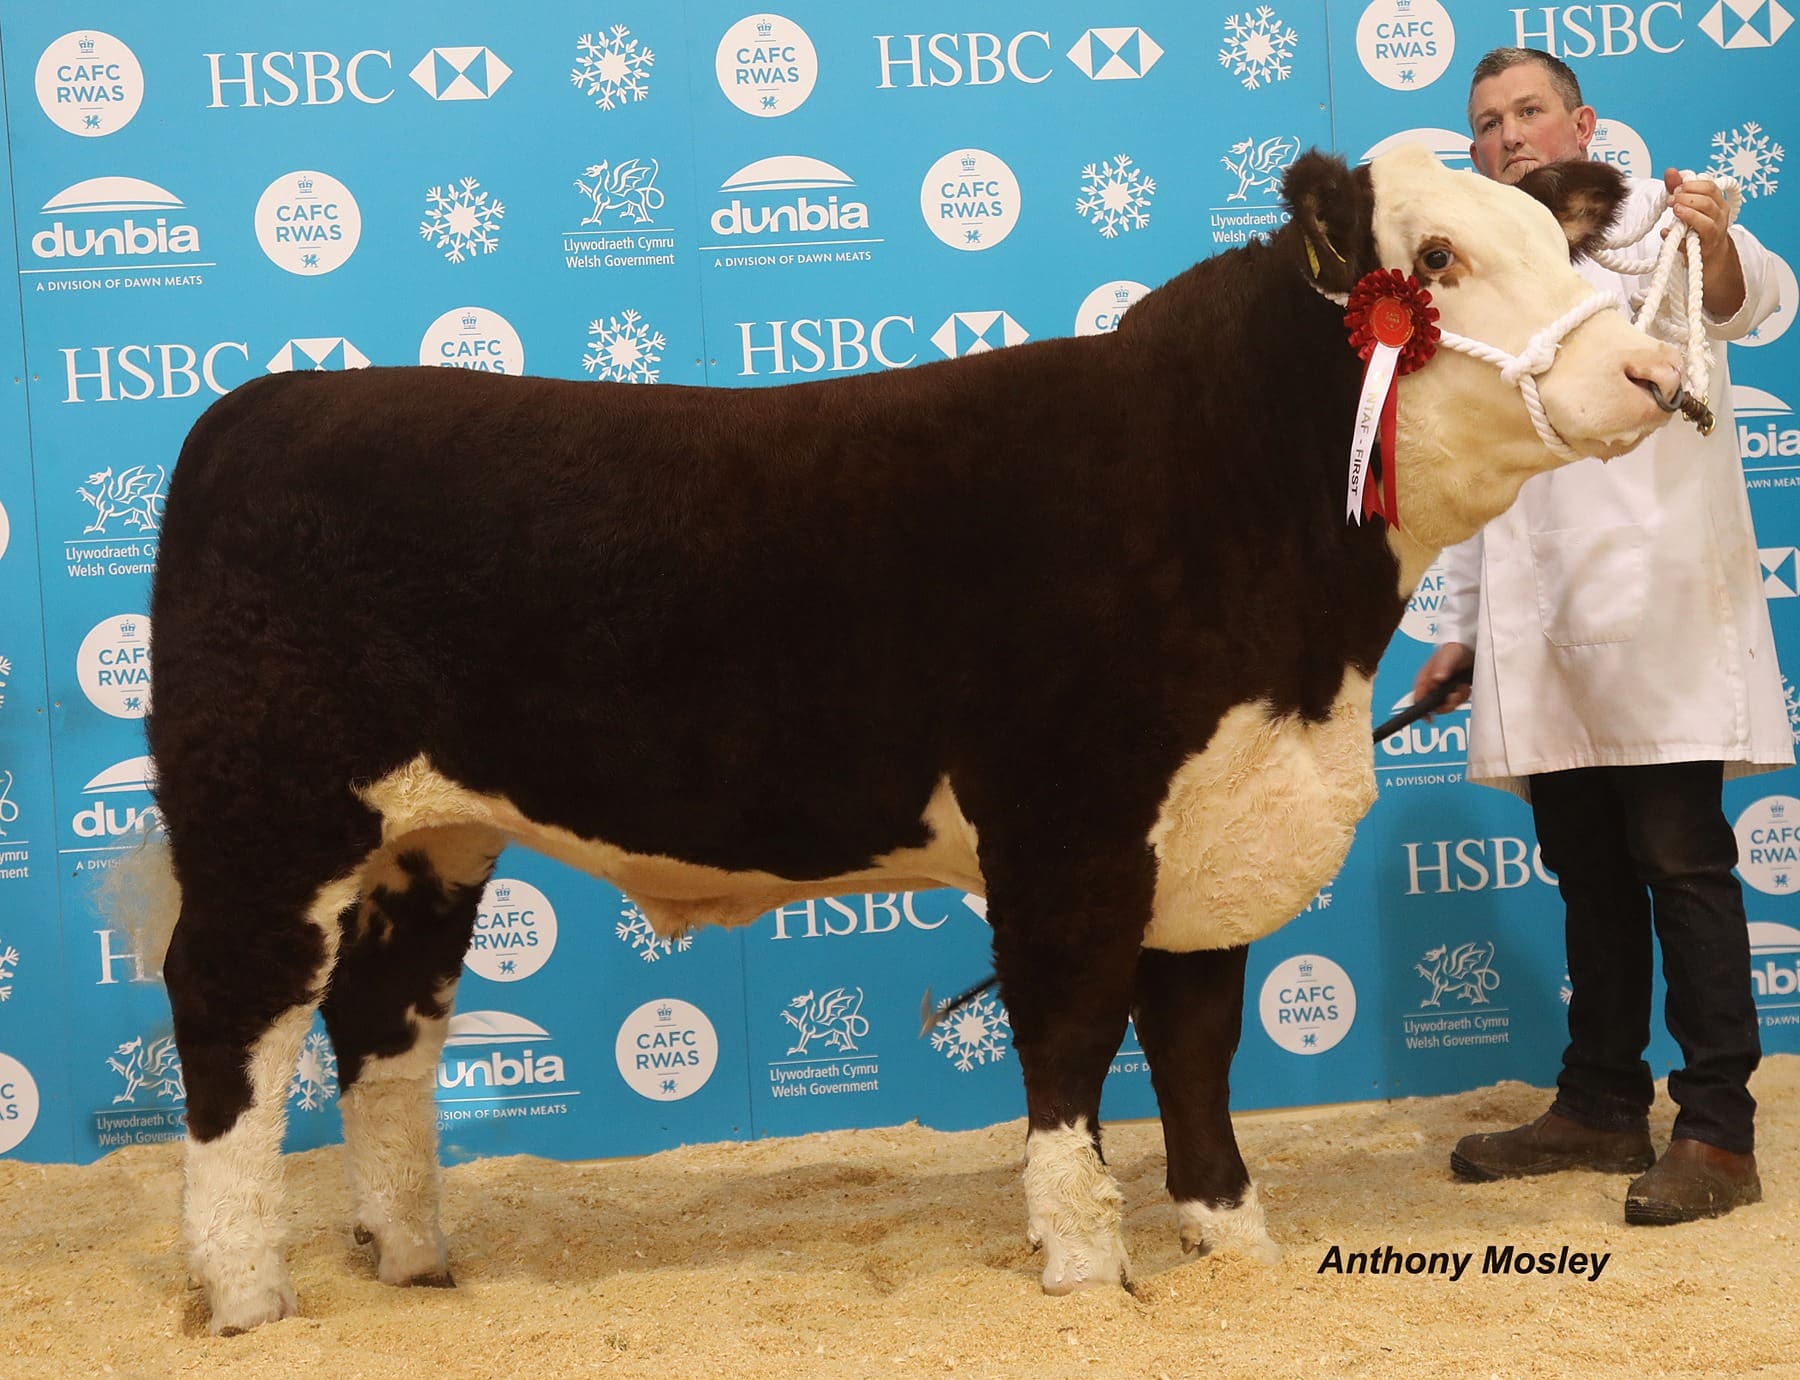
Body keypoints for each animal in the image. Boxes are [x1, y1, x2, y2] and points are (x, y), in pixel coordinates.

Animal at [133, 145, 1677, 1331]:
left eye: (1559, 240)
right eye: (1436, 259)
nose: (1654, 373)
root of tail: (257, 406)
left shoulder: (1209, 822)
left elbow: (1196, 1044)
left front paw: (1232, 1243)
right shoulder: (1068, 826)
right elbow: (1072, 1039)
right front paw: (1084, 1265)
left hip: (432, 837)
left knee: (383, 1025)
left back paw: (412, 1258)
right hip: (268, 813)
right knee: (233, 1014)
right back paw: (245, 1292)